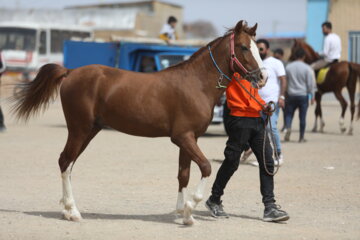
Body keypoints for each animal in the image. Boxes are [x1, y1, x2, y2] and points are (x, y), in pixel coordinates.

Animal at [11, 20, 268, 225]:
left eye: (257, 48)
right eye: (244, 47)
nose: (262, 77)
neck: (195, 83)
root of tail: (71, 72)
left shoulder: (188, 139)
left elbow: (183, 174)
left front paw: (183, 214)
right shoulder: (183, 137)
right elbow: (205, 167)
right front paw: (190, 208)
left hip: (89, 131)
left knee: (69, 163)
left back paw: (66, 209)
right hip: (79, 129)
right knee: (65, 162)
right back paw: (72, 212)